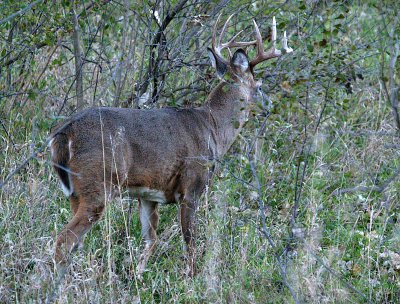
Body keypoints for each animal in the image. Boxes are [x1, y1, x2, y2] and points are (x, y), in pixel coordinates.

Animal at [49, 15, 294, 280]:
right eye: (259, 86)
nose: (269, 105)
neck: (213, 128)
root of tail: (64, 133)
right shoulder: (192, 185)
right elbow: (190, 241)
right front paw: (192, 279)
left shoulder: (147, 195)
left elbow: (151, 240)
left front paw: (138, 276)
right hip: (97, 184)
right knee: (63, 241)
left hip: (75, 192)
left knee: (73, 242)